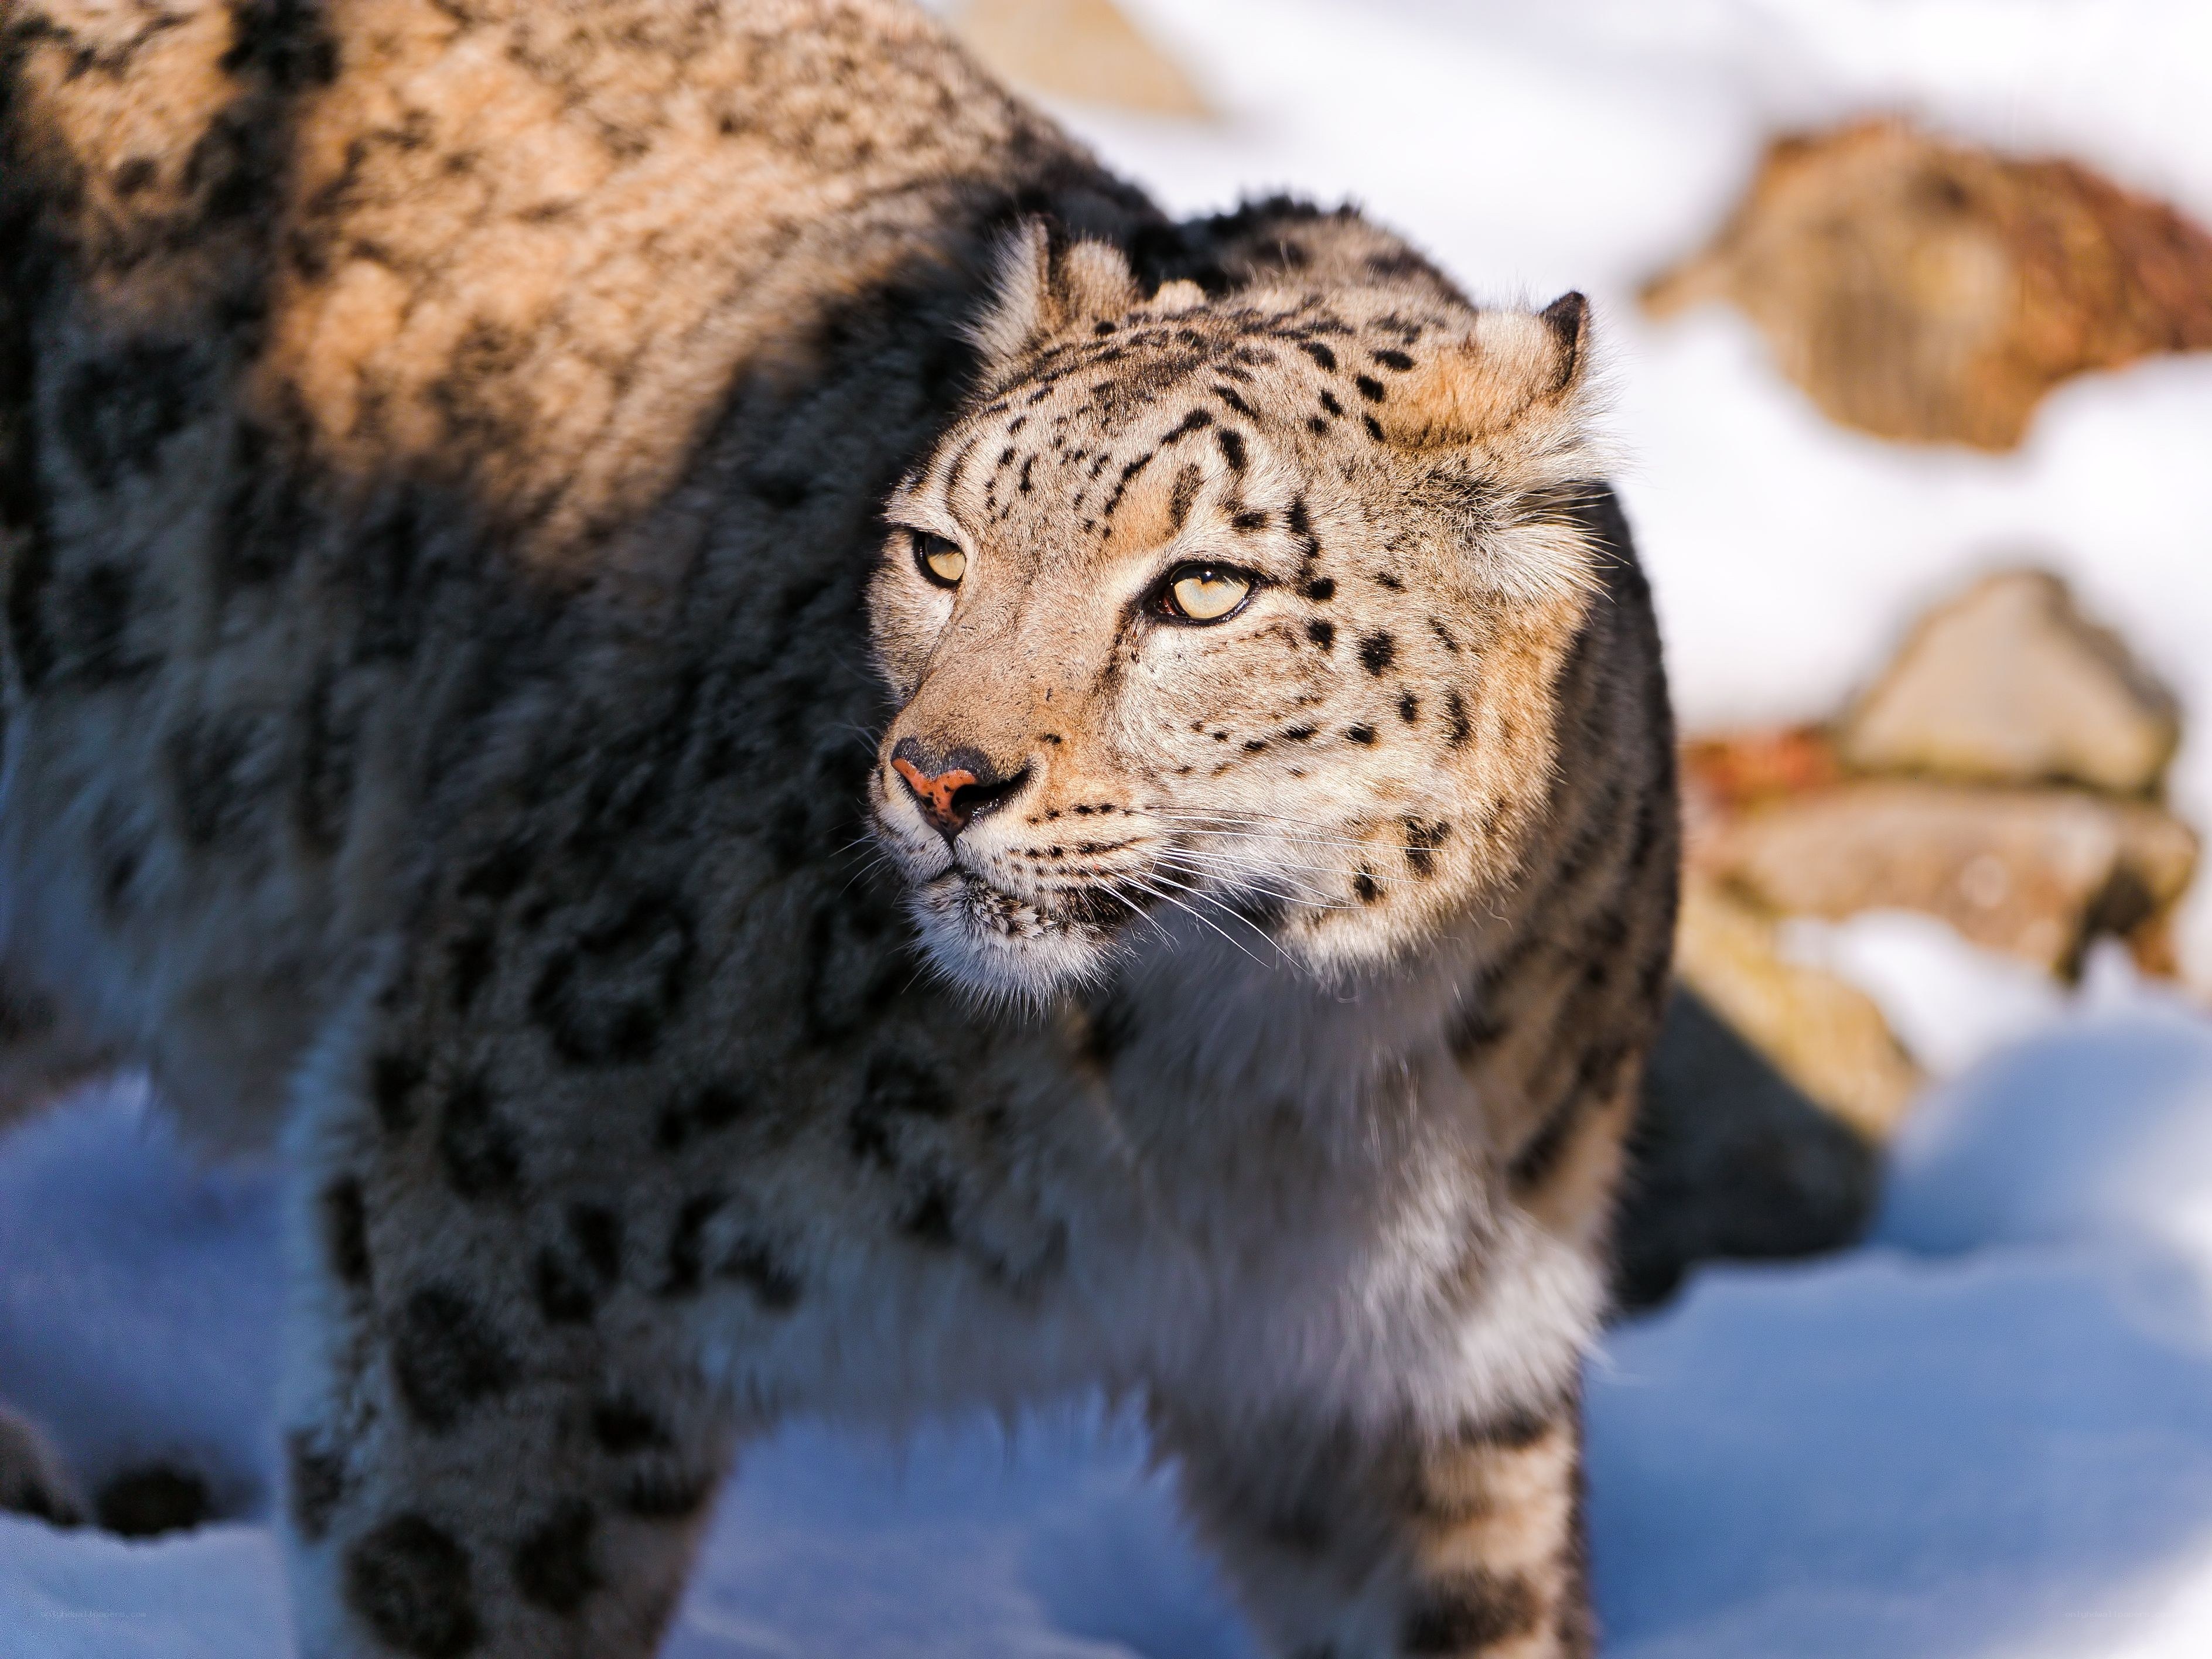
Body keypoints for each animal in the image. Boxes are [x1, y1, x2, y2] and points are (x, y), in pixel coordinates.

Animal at [0, 2, 1679, 1656]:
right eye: (938, 550)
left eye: (1205, 586)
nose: (940, 776)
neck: (1264, 1094)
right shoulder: (507, 1202)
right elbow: (459, 1567)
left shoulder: (1415, 1385)